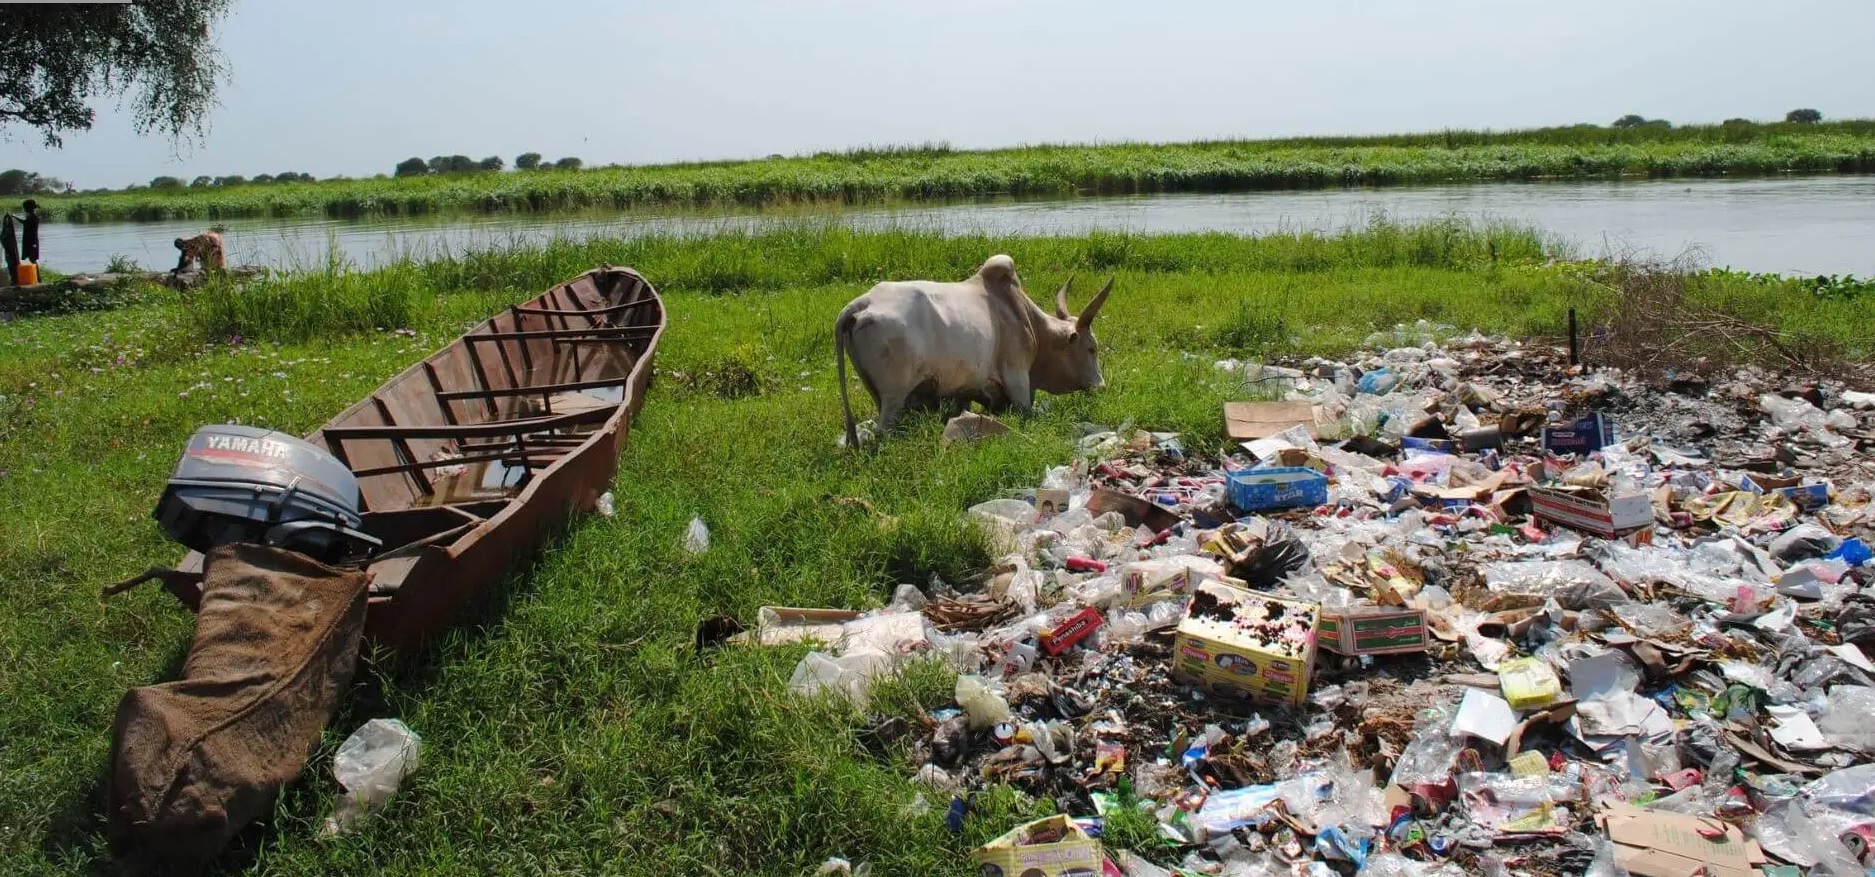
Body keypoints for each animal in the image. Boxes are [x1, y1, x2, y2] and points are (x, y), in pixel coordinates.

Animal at [836, 251, 1110, 445]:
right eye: (1092, 349)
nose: (1101, 386)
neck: (1030, 323)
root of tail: (863, 303)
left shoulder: (966, 392)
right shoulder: (1018, 380)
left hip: (878, 394)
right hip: (894, 396)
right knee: (883, 430)